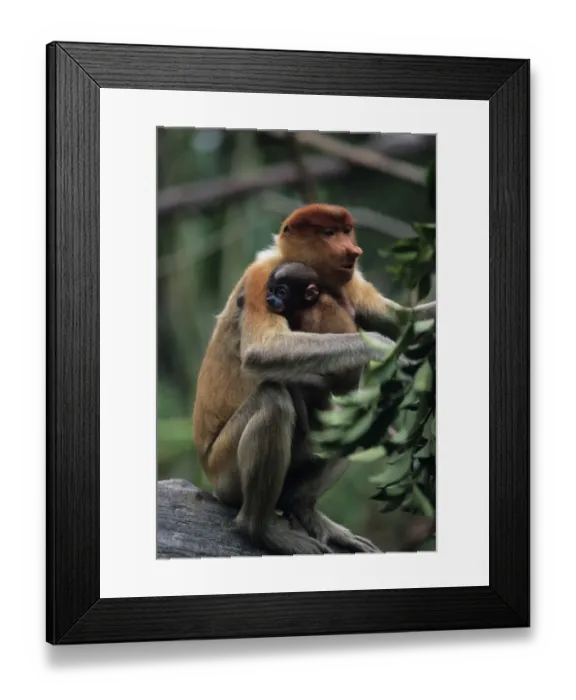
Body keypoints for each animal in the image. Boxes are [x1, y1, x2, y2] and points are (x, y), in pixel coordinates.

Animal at [192, 203, 436, 556]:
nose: (353, 251)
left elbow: (403, 319)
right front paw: (384, 349)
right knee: (274, 399)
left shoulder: (351, 283)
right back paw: (259, 528)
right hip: (224, 472)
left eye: (347, 231)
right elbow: (262, 351)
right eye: (329, 233)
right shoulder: (259, 281)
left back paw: (306, 511)